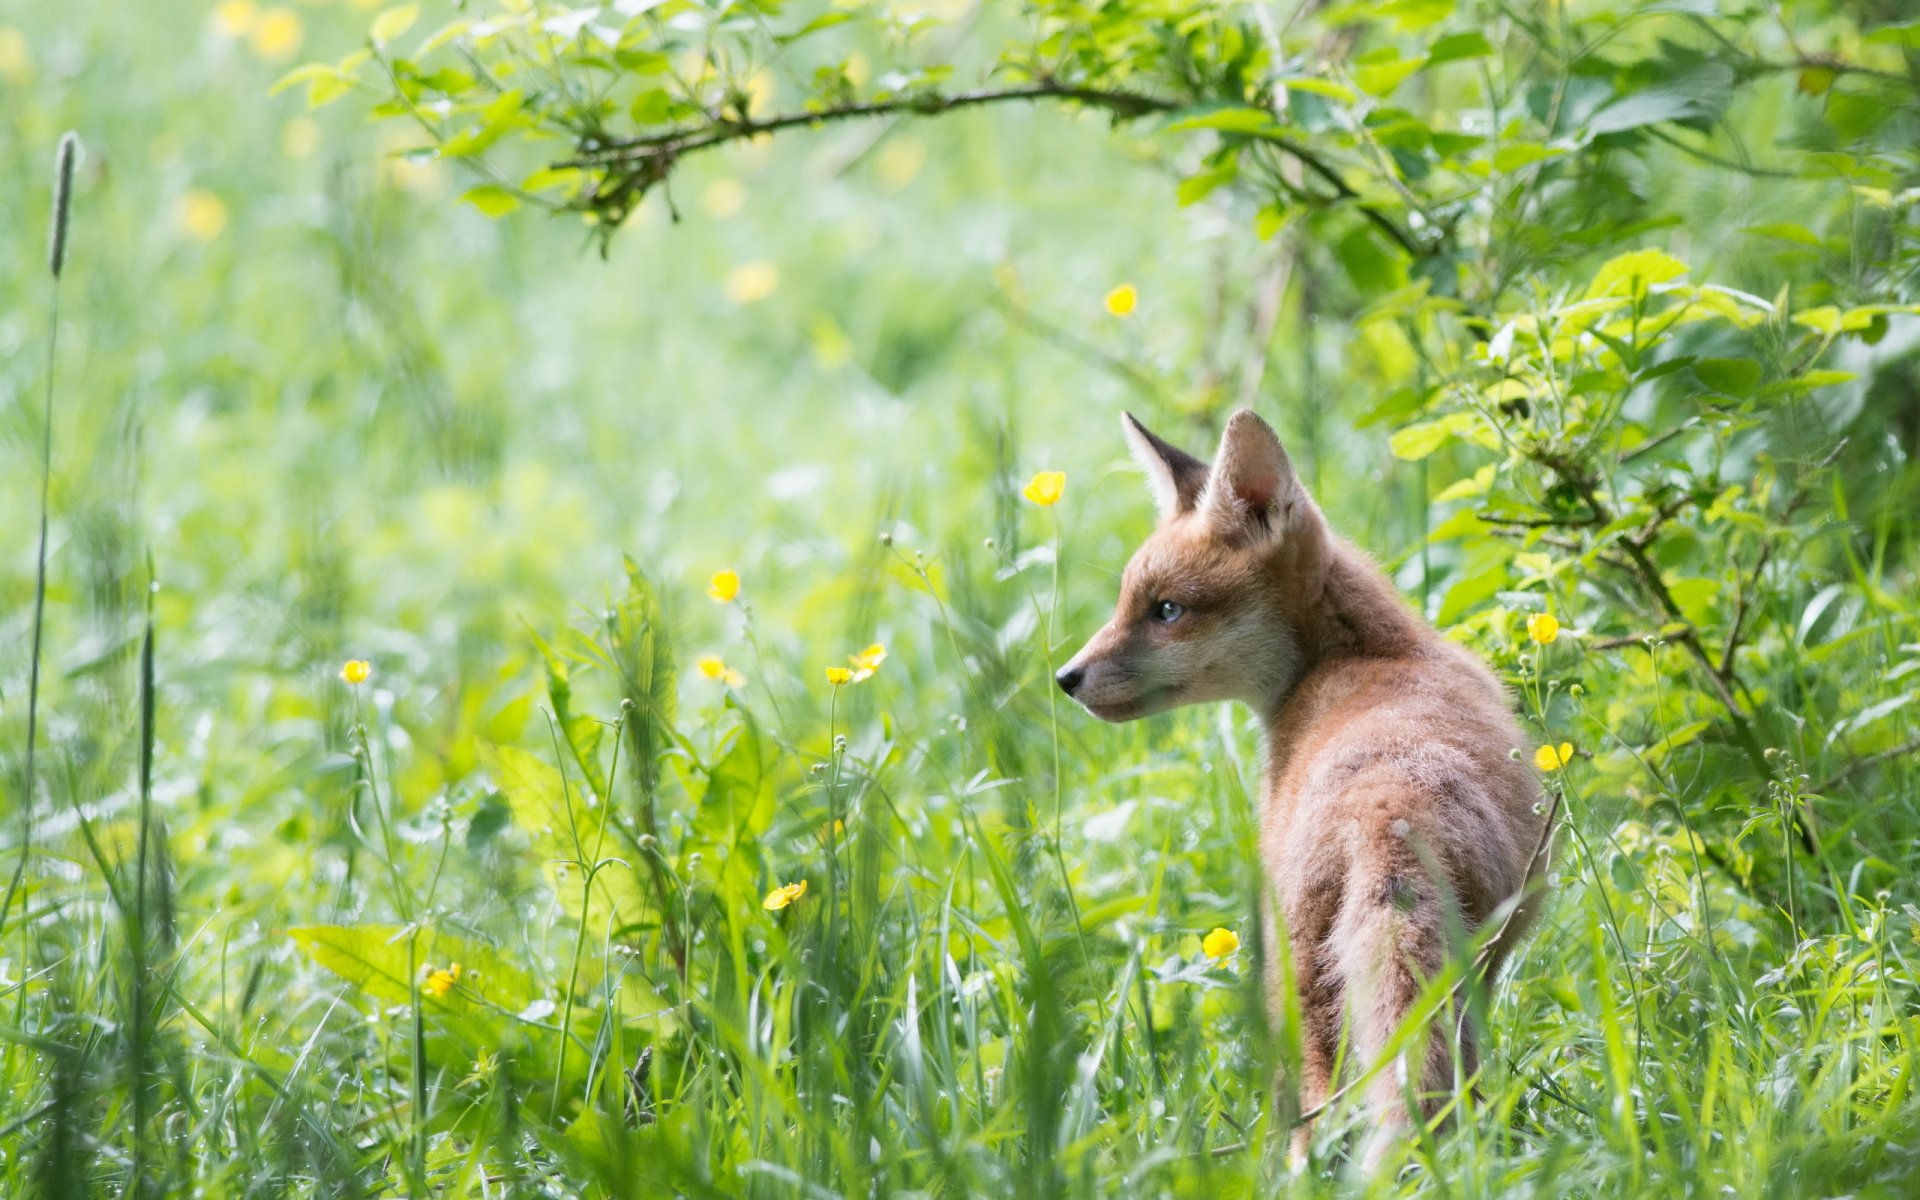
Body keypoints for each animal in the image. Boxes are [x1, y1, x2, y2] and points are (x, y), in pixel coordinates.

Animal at [1057, 409, 1549, 1168]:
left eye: (1166, 610)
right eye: (1123, 602)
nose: (1066, 677)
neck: (1370, 653)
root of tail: (1390, 808)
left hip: (1296, 985)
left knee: (1317, 1121)